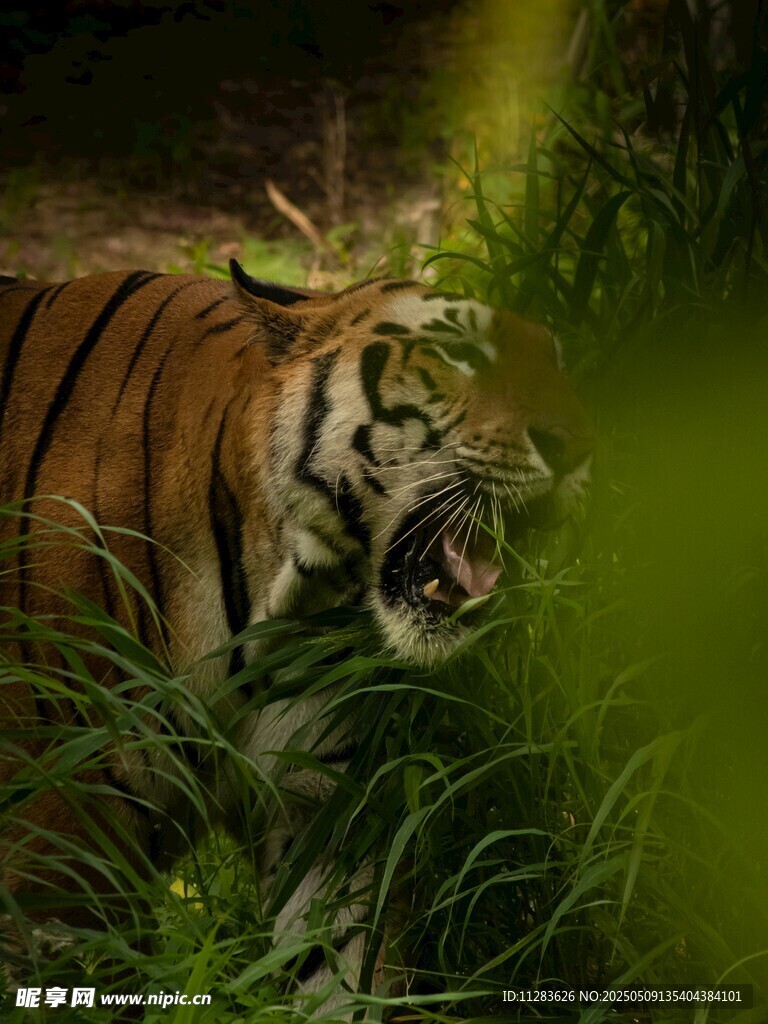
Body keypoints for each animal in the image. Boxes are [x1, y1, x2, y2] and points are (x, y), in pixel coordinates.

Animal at [0, 260, 592, 1010]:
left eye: (558, 364)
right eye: (459, 350)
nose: (579, 446)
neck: (287, 590)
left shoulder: (321, 812)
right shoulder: (61, 837)